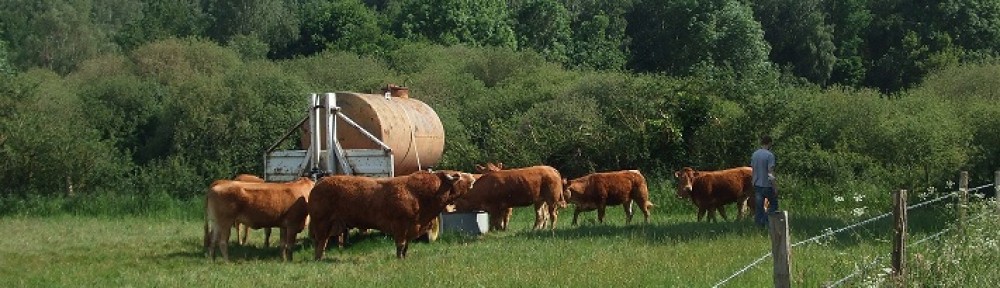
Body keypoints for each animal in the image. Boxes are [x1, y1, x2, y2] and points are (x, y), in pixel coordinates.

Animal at [306, 170, 474, 260]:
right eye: (459, 175)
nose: (472, 177)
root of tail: (321, 181)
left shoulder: (411, 228)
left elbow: (406, 246)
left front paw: (404, 257)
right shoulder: (400, 226)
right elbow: (400, 245)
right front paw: (399, 258)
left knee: (323, 242)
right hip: (321, 222)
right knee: (320, 242)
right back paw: (318, 259)